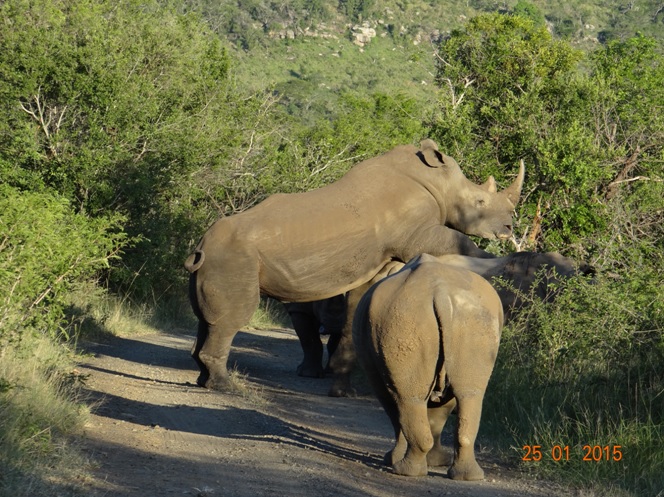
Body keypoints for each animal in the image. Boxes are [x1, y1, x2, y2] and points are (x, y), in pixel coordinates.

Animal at [183, 138, 524, 390]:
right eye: (480, 202)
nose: (508, 228)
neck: (437, 182)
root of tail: (201, 248)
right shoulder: (417, 234)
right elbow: (461, 243)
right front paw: (500, 262)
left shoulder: (380, 259)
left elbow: (357, 308)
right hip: (233, 257)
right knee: (231, 318)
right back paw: (224, 386)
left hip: (216, 260)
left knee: (207, 318)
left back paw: (204, 379)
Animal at [352, 254, 504, 478]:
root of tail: (440, 293)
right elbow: (440, 413)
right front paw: (437, 462)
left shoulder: (375, 373)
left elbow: (395, 412)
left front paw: (391, 458)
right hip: (475, 319)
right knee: (470, 394)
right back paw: (468, 476)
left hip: (403, 318)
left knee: (407, 398)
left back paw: (403, 470)